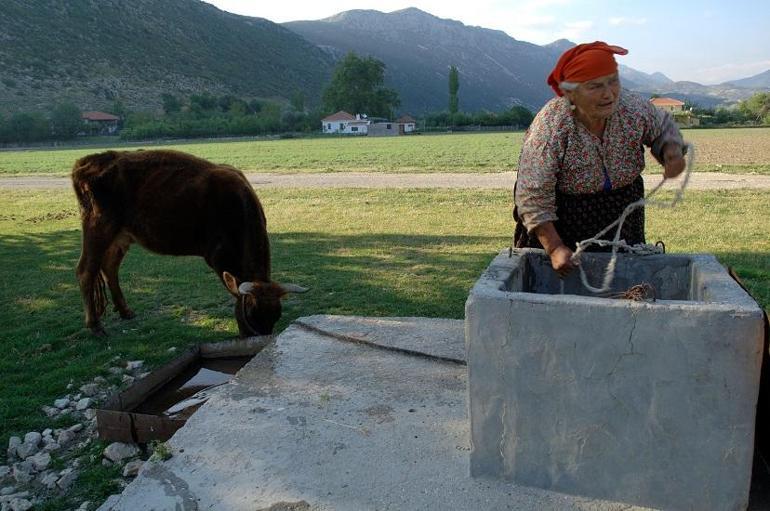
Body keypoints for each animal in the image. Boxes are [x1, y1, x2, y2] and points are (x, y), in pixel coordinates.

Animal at [71, 150, 306, 338]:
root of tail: (89, 160)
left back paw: (125, 311)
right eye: (250, 313)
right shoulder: (218, 256)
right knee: (86, 271)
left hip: (122, 235)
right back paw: (95, 325)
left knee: (110, 266)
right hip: (98, 226)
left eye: (276, 316)